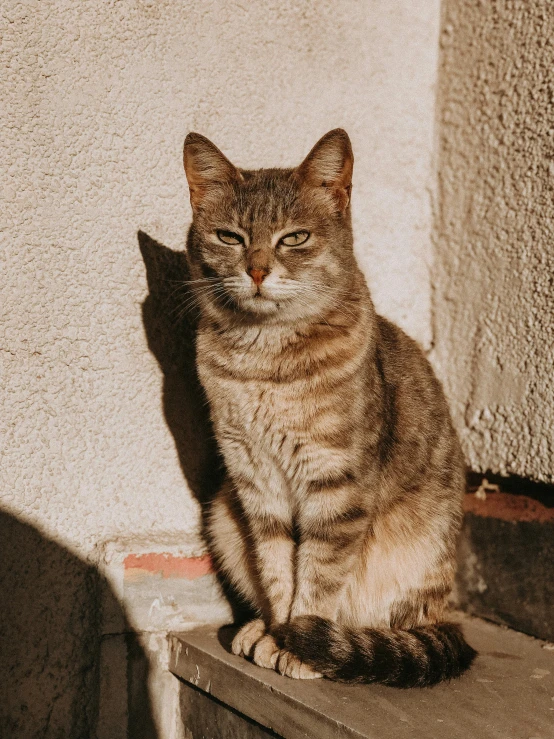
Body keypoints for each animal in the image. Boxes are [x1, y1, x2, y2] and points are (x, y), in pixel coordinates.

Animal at [181, 129, 474, 688]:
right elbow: (277, 568)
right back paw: (257, 627)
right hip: (223, 512)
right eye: (230, 237)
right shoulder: (255, 482)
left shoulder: (337, 484)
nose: (257, 270)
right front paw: (277, 632)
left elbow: (317, 575)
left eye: (294, 238)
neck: (264, 357)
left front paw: (299, 644)